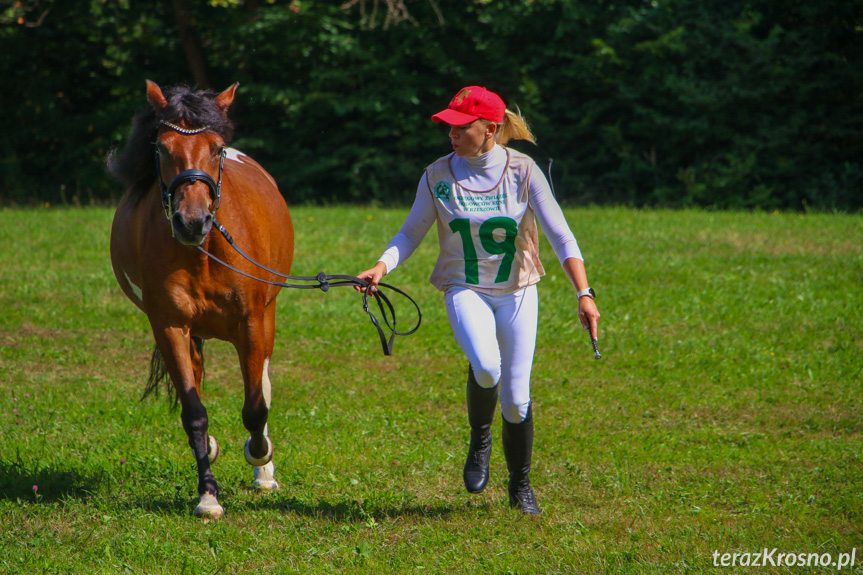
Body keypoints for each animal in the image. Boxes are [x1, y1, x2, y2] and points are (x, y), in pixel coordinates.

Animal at [108, 80, 296, 516]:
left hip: (267, 318)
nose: (192, 221)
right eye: (162, 148)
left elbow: (255, 407)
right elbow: (193, 412)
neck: (202, 252)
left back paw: (264, 473)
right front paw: (208, 494)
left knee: (262, 384)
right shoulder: (170, 326)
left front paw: (260, 454)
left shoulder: (251, 323)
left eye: (216, 148)